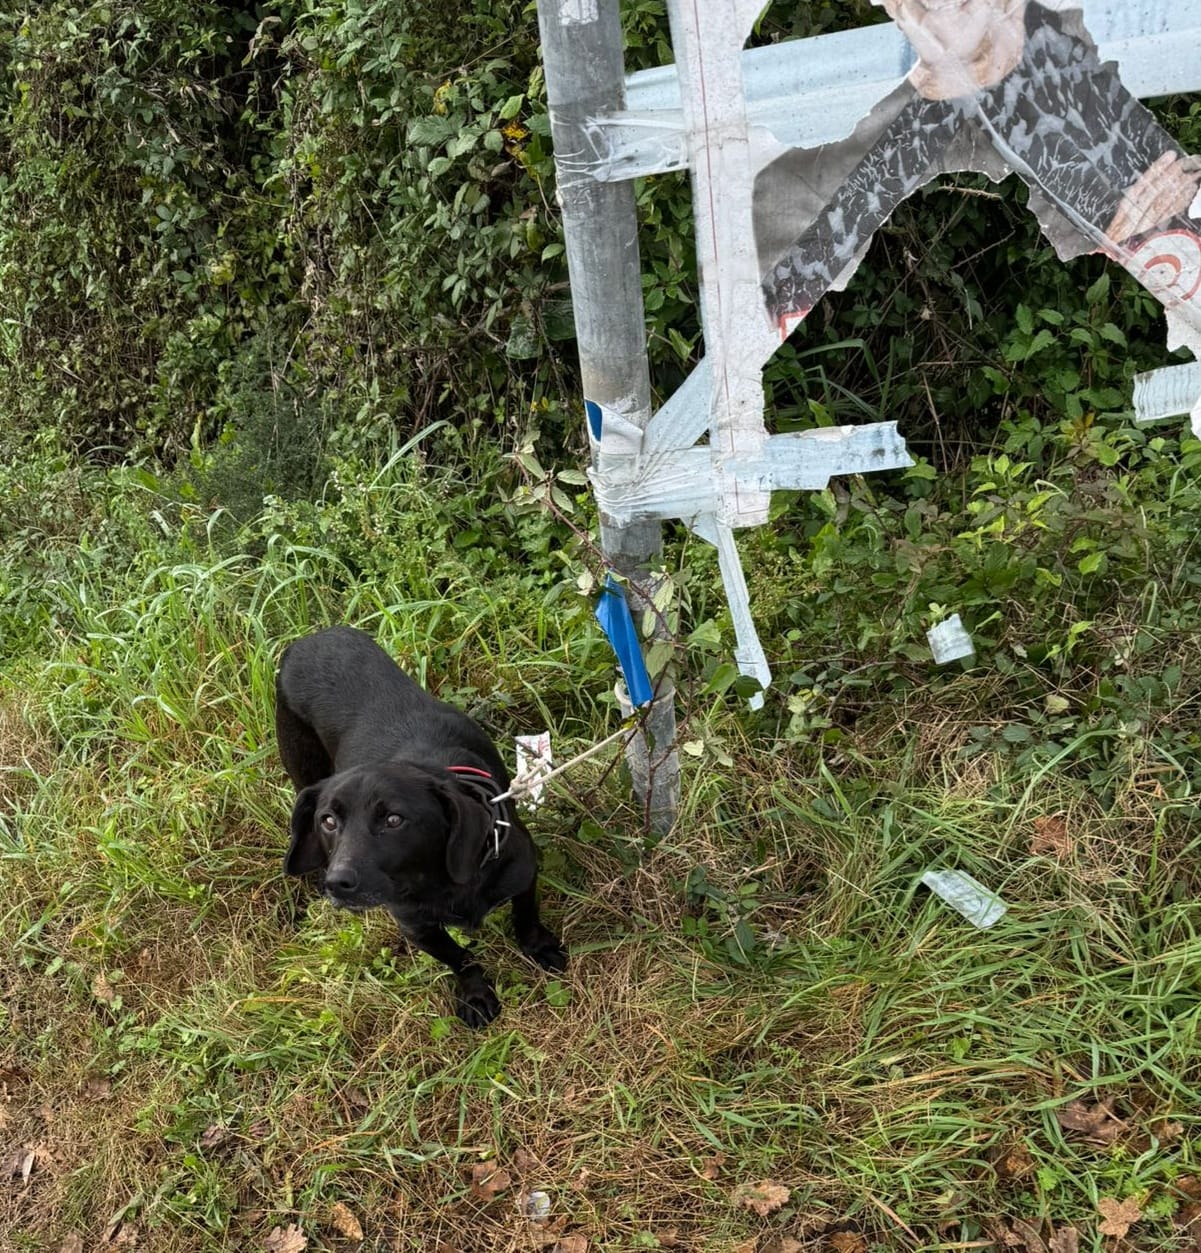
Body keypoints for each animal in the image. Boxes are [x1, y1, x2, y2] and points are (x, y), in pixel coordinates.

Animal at [277, 626, 569, 1027]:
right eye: (329, 821)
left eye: (394, 819)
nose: (337, 883)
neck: (443, 881)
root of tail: (308, 639)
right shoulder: (417, 926)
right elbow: (461, 959)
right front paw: (476, 995)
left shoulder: (523, 873)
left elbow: (525, 917)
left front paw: (539, 947)